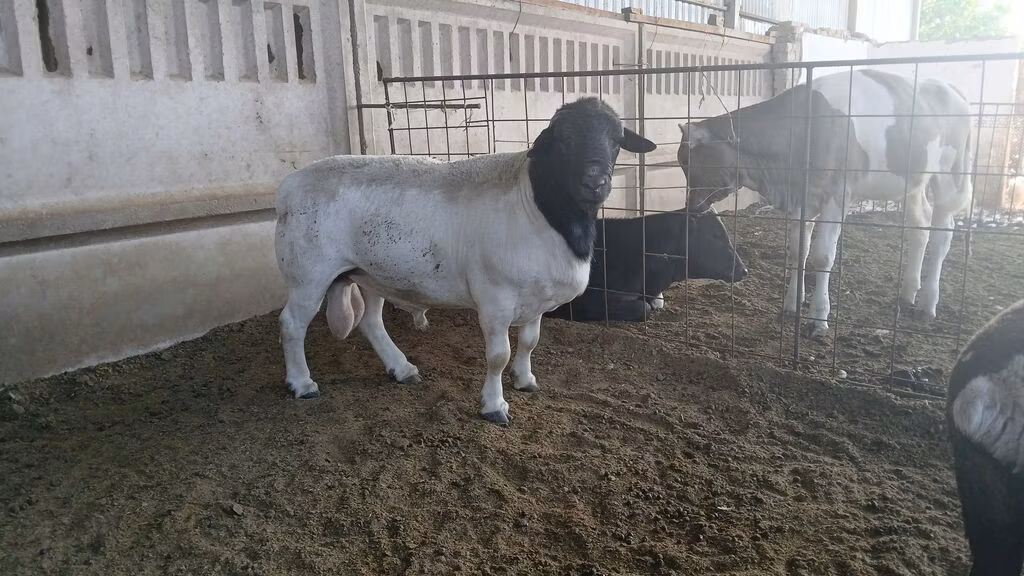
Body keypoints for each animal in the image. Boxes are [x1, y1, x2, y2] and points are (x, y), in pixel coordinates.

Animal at [274, 97, 657, 425]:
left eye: (616, 140)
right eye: (563, 140)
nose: (595, 182)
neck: (536, 205)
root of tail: (289, 185)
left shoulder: (537, 298)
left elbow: (530, 341)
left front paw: (526, 380)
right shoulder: (495, 298)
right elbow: (499, 355)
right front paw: (495, 406)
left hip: (370, 273)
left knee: (370, 322)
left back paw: (402, 369)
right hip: (309, 272)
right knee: (292, 324)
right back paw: (302, 384)